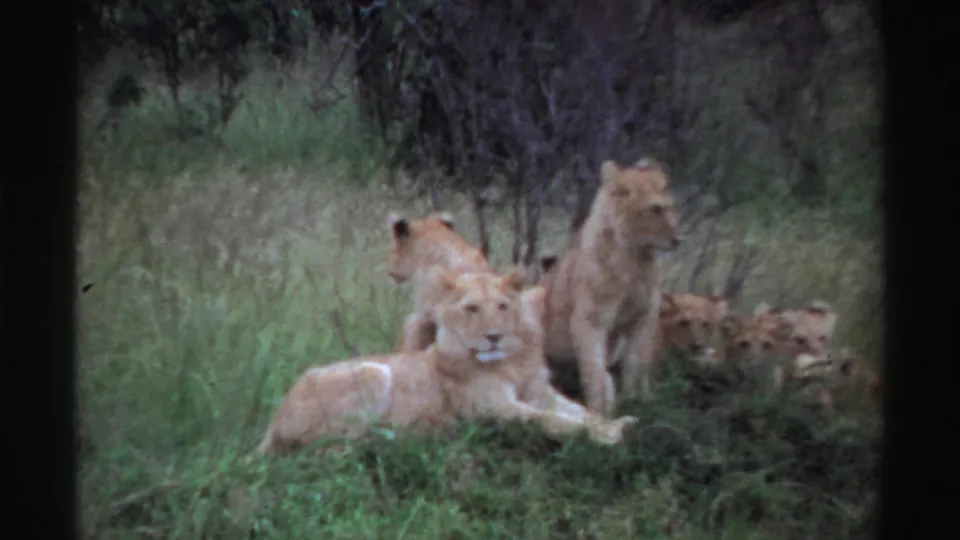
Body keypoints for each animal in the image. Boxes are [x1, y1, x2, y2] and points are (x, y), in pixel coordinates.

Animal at [257, 268, 638, 456]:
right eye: (472, 309)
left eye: (503, 306)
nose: (493, 336)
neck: (511, 361)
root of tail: (273, 422)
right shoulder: (493, 409)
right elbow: (550, 420)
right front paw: (605, 434)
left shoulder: (539, 391)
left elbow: (580, 411)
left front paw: (616, 422)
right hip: (373, 371)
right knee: (335, 443)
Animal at [540, 158, 683, 416]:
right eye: (655, 209)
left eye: (671, 207)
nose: (678, 239)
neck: (636, 259)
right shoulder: (590, 319)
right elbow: (594, 368)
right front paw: (598, 410)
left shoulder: (645, 316)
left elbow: (638, 361)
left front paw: (638, 400)